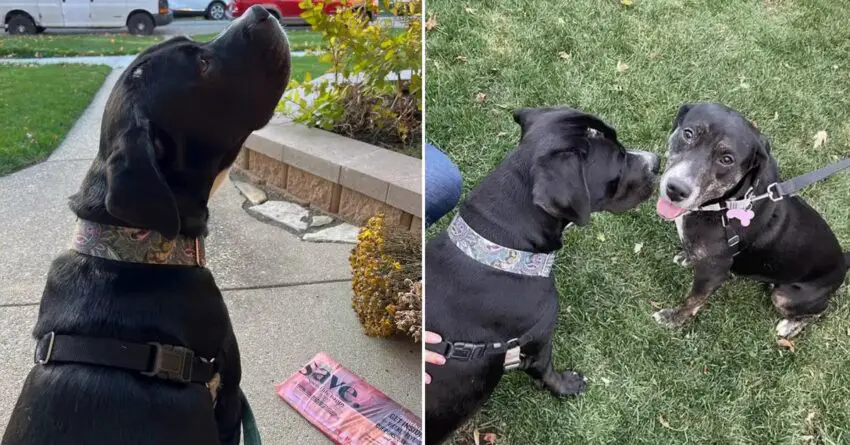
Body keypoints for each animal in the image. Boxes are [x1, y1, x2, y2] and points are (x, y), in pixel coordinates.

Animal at [422, 106, 656, 440]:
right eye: (620, 158)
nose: (657, 162)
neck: (498, 247)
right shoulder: (538, 342)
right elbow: (547, 371)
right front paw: (567, 385)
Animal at [652, 103, 844, 336]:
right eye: (688, 133)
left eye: (727, 159)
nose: (676, 189)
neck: (723, 205)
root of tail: (844, 262)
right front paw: (686, 257)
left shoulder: (713, 275)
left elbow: (693, 301)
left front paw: (673, 318)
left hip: (786, 296)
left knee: (820, 310)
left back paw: (791, 325)